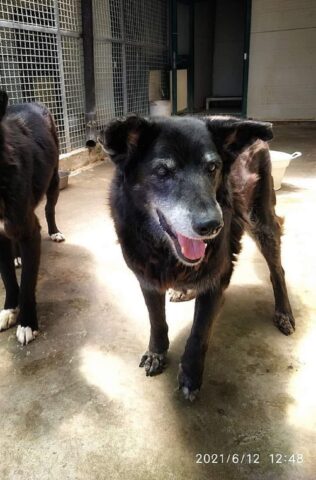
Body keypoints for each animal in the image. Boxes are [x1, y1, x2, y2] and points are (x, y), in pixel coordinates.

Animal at [0, 91, 64, 344]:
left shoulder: (30, 234)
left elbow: (27, 283)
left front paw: (27, 323)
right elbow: (8, 276)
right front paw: (9, 309)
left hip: (54, 179)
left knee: (49, 209)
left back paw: (55, 232)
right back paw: (17, 256)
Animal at [100, 114, 294, 400]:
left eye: (212, 167)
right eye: (162, 172)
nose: (212, 226)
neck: (165, 251)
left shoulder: (217, 278)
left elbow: (199, 332)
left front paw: (191, 375)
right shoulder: (147, 278)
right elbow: (156, 320)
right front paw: (157, 352)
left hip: (261, 220)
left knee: (277, 269)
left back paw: (284, 313)